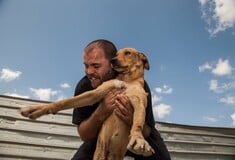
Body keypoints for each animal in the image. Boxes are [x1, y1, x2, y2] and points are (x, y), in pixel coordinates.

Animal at [19, 47, 154, 160]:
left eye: (128, 53)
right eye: (116, 54)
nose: (112, 60)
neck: (126, 80)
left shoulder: (139, 103)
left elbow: (138, 123)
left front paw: (138, 139)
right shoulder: (94, 94)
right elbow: (65, 101)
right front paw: (34, 109)